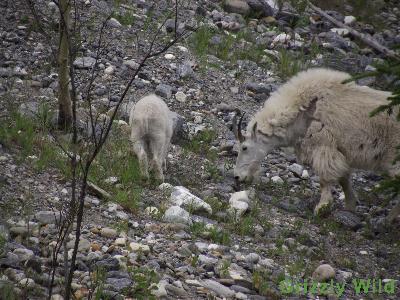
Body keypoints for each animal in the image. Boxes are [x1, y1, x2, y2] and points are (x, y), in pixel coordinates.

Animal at [233, 67, 400, 223]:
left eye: (244, 147)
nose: (237, 177)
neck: (305, 111)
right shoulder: (339, 152)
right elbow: (344, 179)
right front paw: (350, 207)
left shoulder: (324, 148)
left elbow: (325, 179)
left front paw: (321, 208)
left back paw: (388, 220)